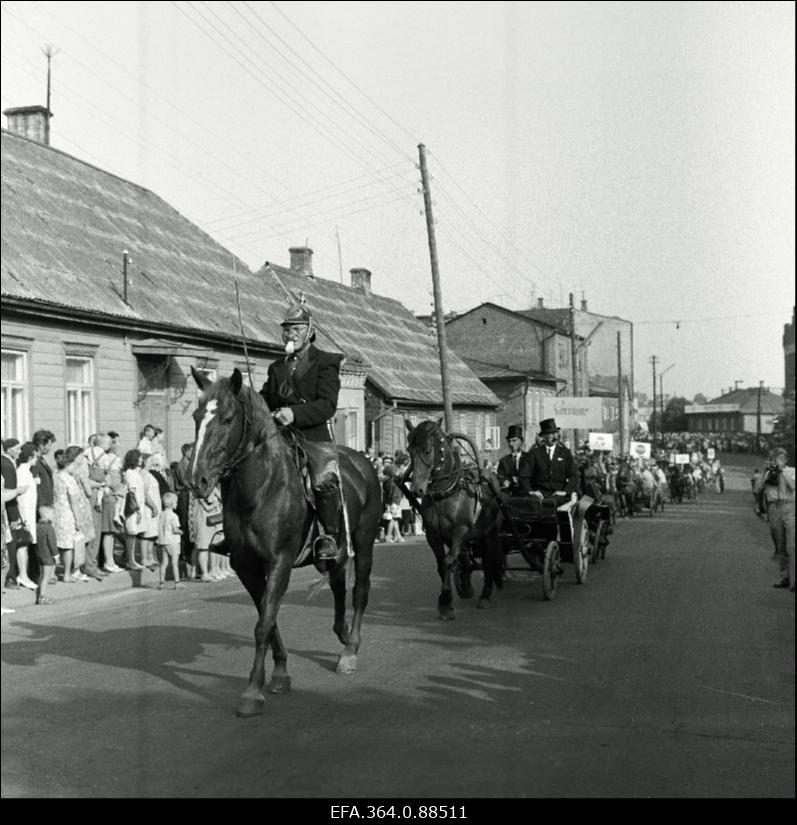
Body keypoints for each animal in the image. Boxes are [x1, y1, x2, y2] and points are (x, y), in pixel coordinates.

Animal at [190, 366, 382, 716]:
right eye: (197, 416)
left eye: (227, 418)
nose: (196, 479)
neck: (260, 489)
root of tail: (363, 463)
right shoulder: (247, 567)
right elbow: (268, 618)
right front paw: (279, 672)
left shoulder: (280, 561)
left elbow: (264, 623)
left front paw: (252, 691)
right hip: (332, 551)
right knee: (337, 585)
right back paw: (342, 632)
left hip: (363, 544)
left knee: (360, 591)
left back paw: (350, 649)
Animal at [404, 418, 504, 616]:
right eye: (409, 451)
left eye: (428, 450)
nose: (417, 489)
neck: (446, 493)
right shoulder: (433, 535)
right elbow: (442, 564)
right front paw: (446, 600)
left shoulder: (461, 531)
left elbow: (449, 560)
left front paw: (445, 600)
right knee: (466, 556)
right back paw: (466, 584)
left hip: (491, 533)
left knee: (488, 559)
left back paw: (485, 595)